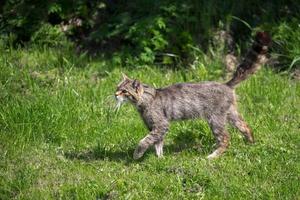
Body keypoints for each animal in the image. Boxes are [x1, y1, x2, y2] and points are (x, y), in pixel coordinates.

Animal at [113, 32, 270, 159]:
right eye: (117, 88)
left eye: (124, 91)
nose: (115, 94)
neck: (145, 100)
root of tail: (226, 84)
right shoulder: (155, 128)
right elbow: (158, 144)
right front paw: (160, 158)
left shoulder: (161, 125)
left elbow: (145, 141)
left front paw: (137, 154)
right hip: (231, 114)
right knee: (246, 127)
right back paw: (251, 144)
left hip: (215, 119)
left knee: (225, 138)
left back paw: (212, 156)